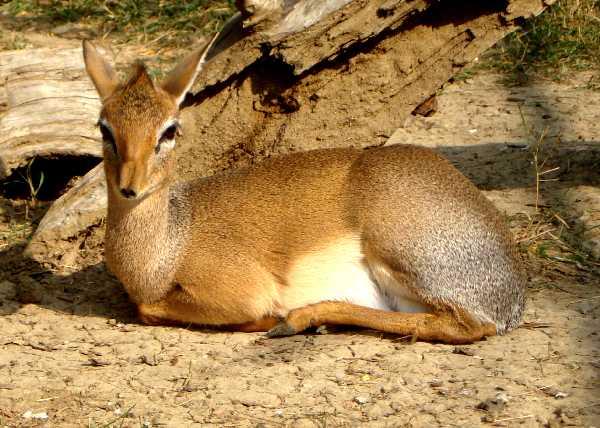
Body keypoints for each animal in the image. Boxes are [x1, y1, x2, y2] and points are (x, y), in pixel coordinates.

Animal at [82, 35, 525, 344]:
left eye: (169, 130)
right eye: (105, 127)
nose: (130, 187)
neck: (169, 248)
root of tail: (513, 295)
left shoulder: (242, 290)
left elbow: (149, 309)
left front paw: (269, 317)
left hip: (404, 254)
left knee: (469, 326)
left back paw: (295, 320)